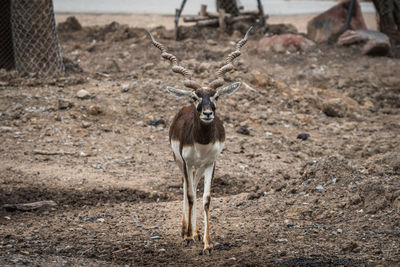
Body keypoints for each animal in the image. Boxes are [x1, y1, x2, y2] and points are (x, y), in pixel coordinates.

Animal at [148, 27, 252, 255]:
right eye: (195, 97)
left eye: (216, 96)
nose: (207, 113)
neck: (202, 143)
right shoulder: (187, 162)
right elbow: (189, 195)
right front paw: (187, 237)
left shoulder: (211, 162)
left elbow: (205, 199)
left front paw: (207, 243)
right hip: (180, 162)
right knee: (185, 186)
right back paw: (185, 231)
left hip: (199, 167)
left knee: (194, 186)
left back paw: (194, 232)